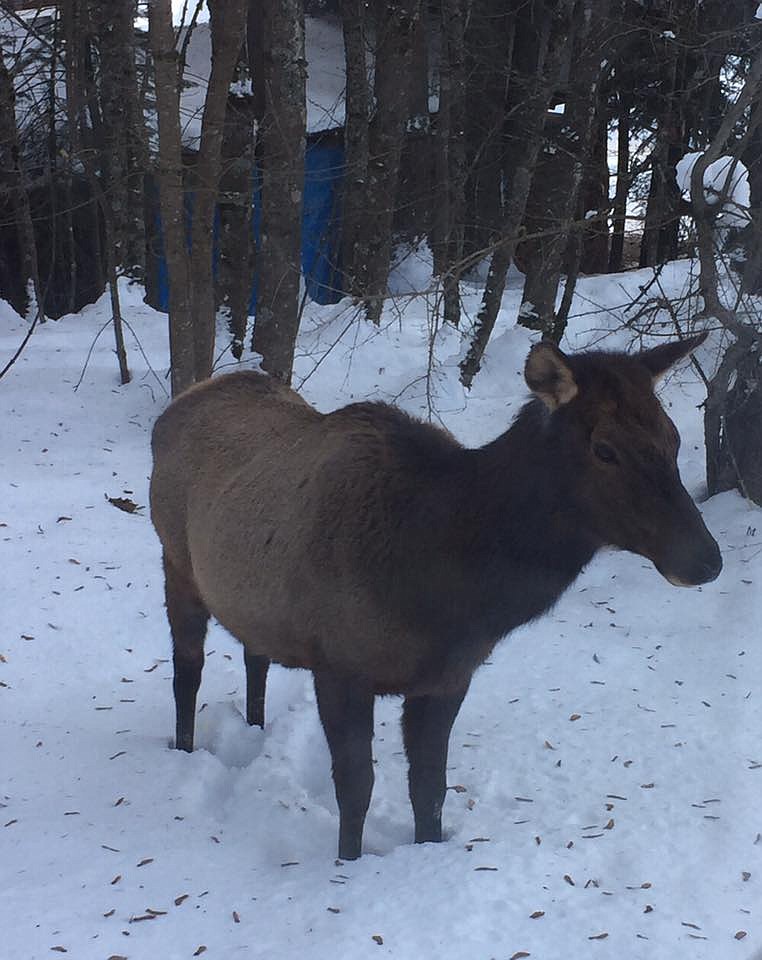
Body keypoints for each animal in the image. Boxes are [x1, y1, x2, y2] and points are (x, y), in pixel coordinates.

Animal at [147, 334, 720, 860]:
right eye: (604, 448)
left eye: (673, 438)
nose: (706, 560)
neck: (443, 595)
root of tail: (182, 402)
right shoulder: (339, 666)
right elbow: (356, 788)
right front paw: (347, 863)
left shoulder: (448, 678)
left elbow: (430, 789)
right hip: (176, 559)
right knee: (187, 668)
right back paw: (184, 747)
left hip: (251, 595)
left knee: (255, 654)